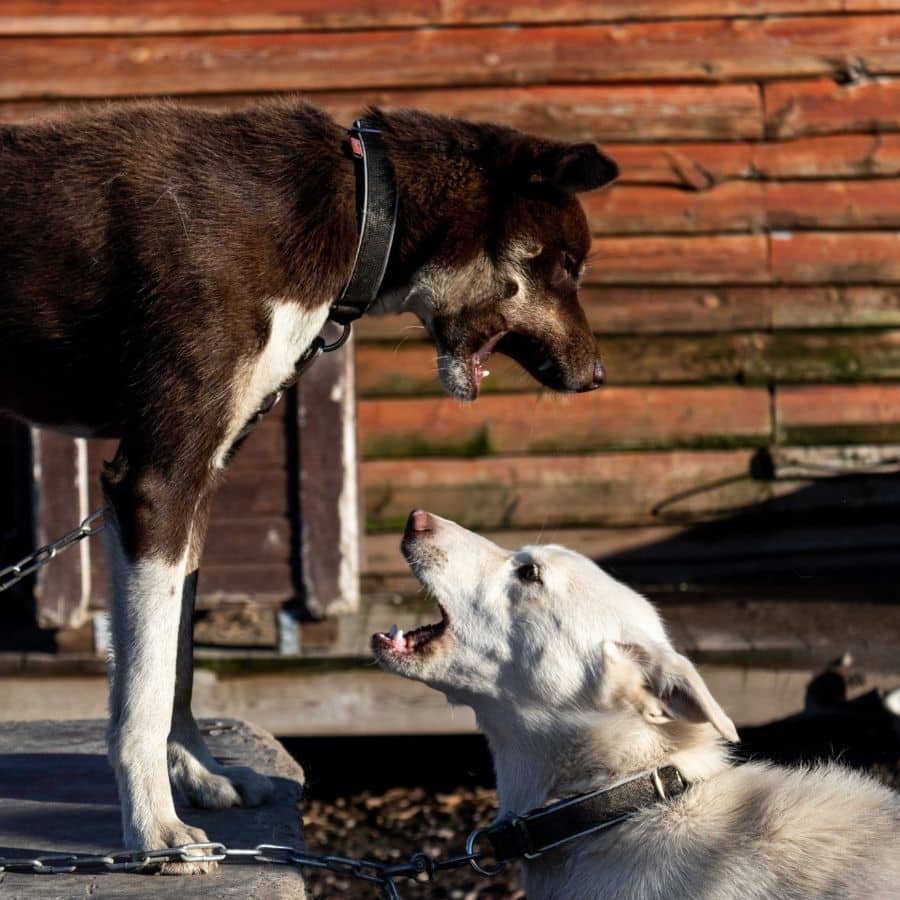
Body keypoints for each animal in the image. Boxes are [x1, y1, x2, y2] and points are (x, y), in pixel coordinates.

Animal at [0, 100, 616, 872]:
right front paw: (154, 829)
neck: (360, 203)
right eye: (568, 266)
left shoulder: (196, 483)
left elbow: (176, 663)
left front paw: (198, 774)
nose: (597, 377)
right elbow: (142, 688)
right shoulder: (155, 480)